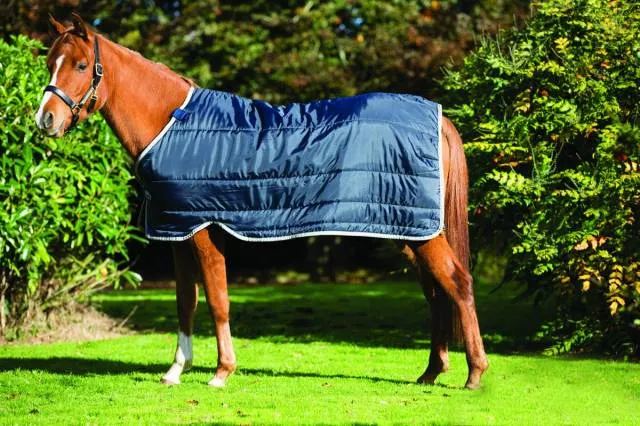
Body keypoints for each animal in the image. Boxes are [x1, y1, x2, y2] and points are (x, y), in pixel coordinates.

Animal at [35, 14, 488, 389]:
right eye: (49, 63)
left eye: (80, 66)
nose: (46, 120)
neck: (172, 124)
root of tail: (438, 117)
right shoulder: (178, 231)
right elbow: (186, 303)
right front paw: (176, 370)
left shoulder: (204, 230)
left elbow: (217, 300)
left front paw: (222, 372)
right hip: (408, 230)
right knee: (436, 293)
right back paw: (431, 373)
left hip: (421, 233)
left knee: (459, 284)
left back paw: (474, 375)